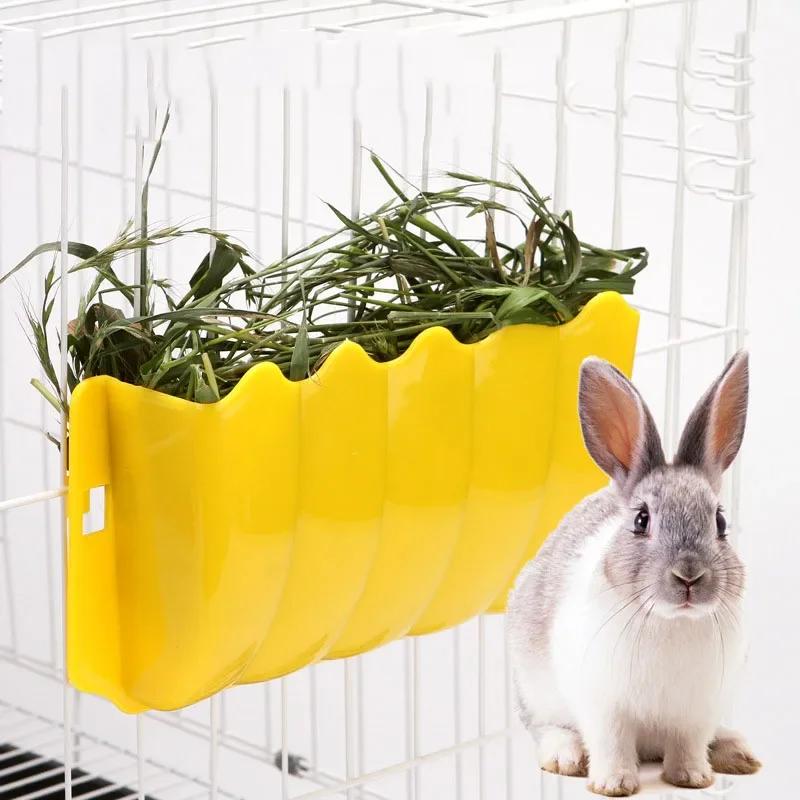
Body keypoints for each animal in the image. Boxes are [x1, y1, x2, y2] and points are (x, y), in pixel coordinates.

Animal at [506, 351, 761, 796]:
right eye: (641, 520)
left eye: (720, 522)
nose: (689, 576)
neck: (671, 620)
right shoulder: (604, 706)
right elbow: (611, 744)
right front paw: (613, 784)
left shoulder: (697, 710)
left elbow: (689, 744)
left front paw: (692, 777)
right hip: (534, 690)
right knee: (546, 727)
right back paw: (566, 756)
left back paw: (737, 753)